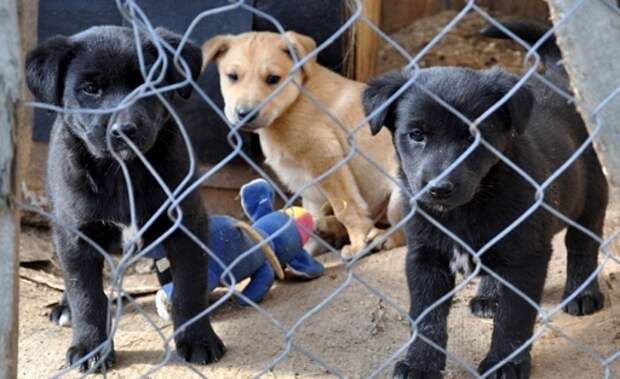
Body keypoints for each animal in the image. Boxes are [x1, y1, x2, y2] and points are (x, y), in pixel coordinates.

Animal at [27, 27, 225, 374]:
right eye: (90, 89)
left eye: (150, 82)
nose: (123, 130)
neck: (123, 173)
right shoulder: (76, 235)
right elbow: (86, 295)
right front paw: (90, 348)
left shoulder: (186, 224)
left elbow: (189, 287)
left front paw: (198, 339)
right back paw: (65, 308)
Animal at [203, 31, 404, 260]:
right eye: (232, 76)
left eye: (273, 79)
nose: (244, 113)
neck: (293, 103)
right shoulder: (307, 186)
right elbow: (309, 222)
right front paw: (306, 250)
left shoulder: (325, 157)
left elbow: (346, 207)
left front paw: (358, 244)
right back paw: (327, 227)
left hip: (399, 195)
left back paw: (383, 237)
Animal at [360, 21, 608, 379]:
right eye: (416, 135)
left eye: (473, 137)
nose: (439, 188)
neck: (467, 208)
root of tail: (555, 80)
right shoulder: (424, 256)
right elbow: (426, 318)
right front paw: (420, 363)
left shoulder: (527, 257)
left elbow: (514, 318)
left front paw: (505, 363)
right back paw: (490, 297)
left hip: (590, 198)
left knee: (582, 246)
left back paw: (582, 293)